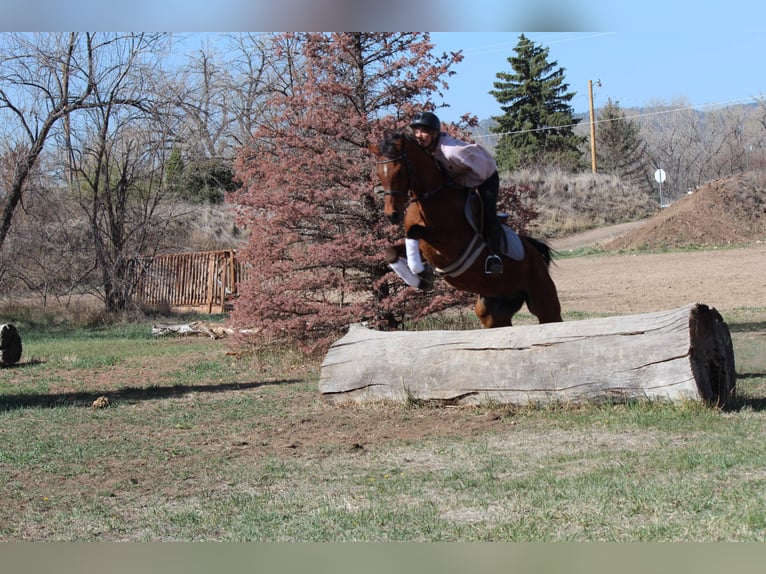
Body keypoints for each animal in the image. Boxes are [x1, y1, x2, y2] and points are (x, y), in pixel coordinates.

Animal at [369, 130, 562, 328]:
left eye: (399, 172)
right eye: (378, 174)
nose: (392, 215)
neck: (431, 197)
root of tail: (534, 252)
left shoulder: (448, 243)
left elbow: (414, 231)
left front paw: (423, 274)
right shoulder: (425, 249)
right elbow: (391, 252)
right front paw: (420, 280)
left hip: (543, 301)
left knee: (550, 316)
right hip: (495, 307)